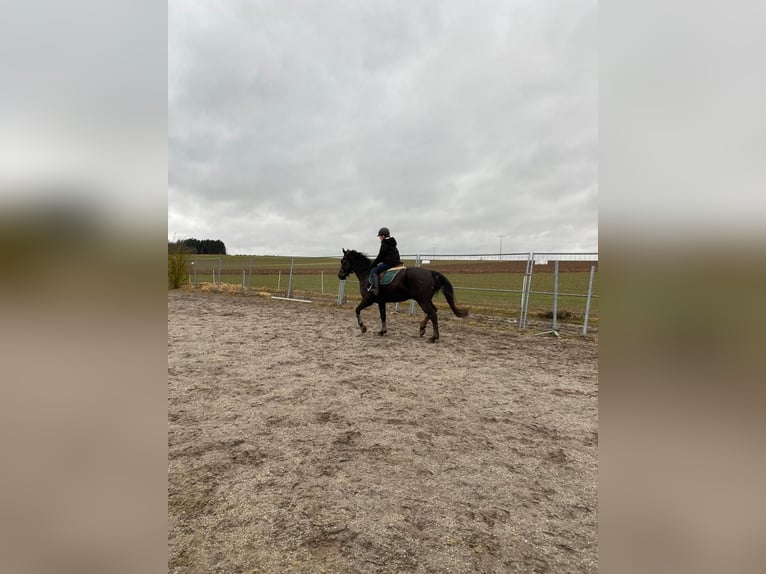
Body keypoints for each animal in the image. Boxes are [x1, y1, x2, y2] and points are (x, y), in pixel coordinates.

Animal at [337, 249, 468, 342]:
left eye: (343, 261)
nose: (340, 275)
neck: (367, 273)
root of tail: (431, 272)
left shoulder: (368, 299)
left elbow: (357, 310)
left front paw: (363, 327)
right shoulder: (381, 302)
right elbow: (383, 316)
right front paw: (382, 331)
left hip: (422, 300)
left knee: (432, 314)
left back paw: (433, 337)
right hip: (426, 300)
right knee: (433, 311)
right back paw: (422, 329)